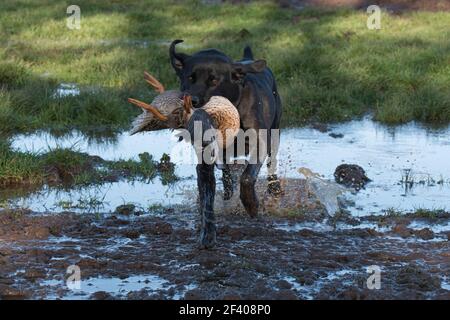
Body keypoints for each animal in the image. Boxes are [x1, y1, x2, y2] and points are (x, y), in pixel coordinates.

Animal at [170, 38, 282, 248]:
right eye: (190, 78)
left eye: (214, 80)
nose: (192, 101)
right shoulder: (205, 161)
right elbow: (207, 198)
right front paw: (207, 235)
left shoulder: (260, 143)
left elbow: (247, 177)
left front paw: (251, 204)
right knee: (227, 170)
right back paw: (228, 190)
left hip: (276, 132)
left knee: (272, 163)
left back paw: (275, 188)